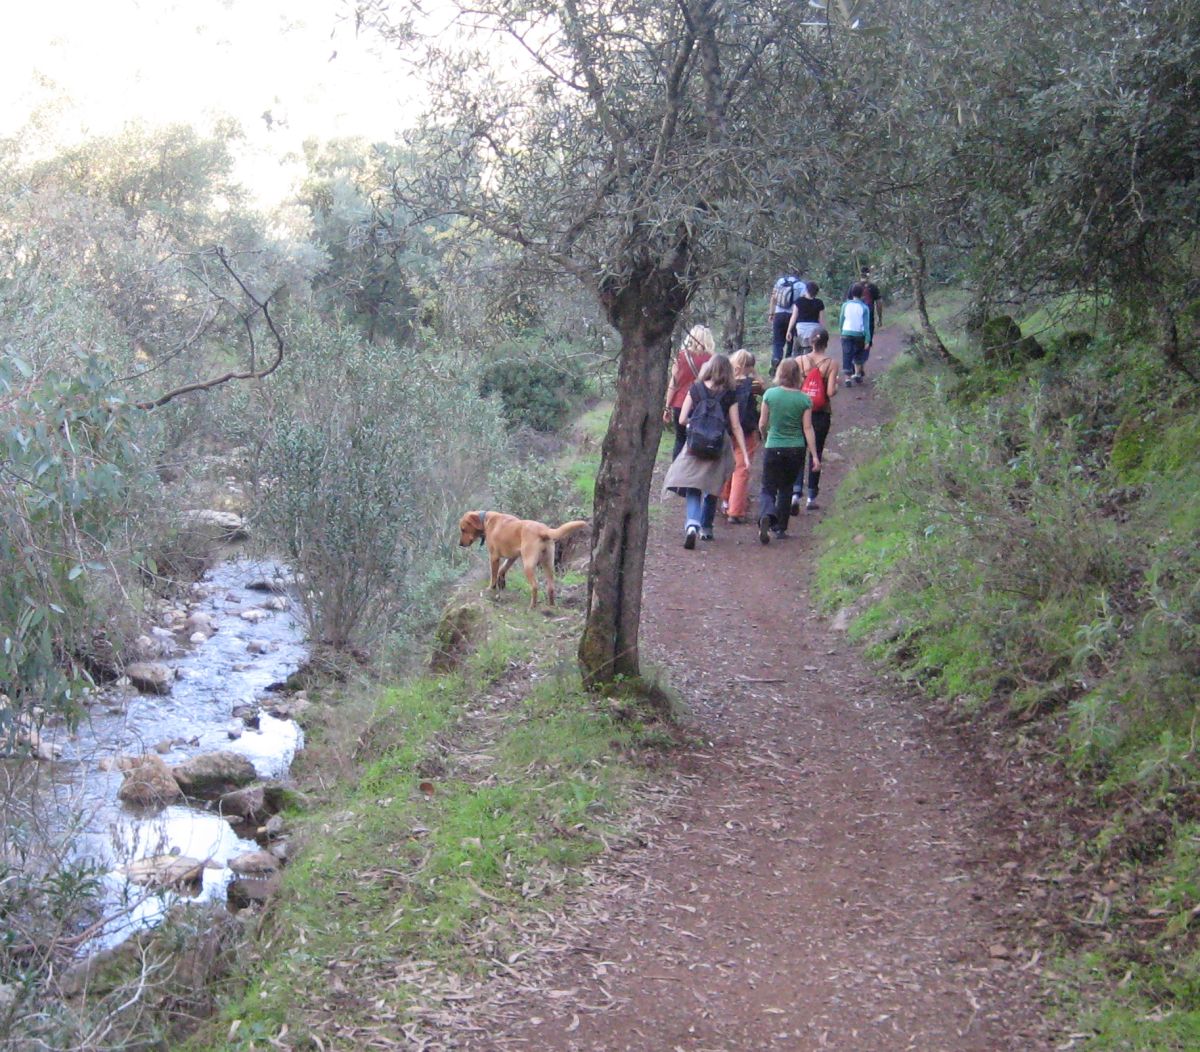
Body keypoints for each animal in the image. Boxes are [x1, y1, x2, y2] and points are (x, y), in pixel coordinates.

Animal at [458, 510, 588, 609]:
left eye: (463, 529)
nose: (460, 544)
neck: (485, 520)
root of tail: (543, 530)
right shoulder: (512, 557)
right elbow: (502, 570)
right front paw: (502, 583)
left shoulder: (494, 557)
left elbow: (493, 575)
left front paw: (491, 588)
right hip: (548, 564)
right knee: (551, 587)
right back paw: (551, 606)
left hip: (528, 566)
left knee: (535, 586)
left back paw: (532, 606)